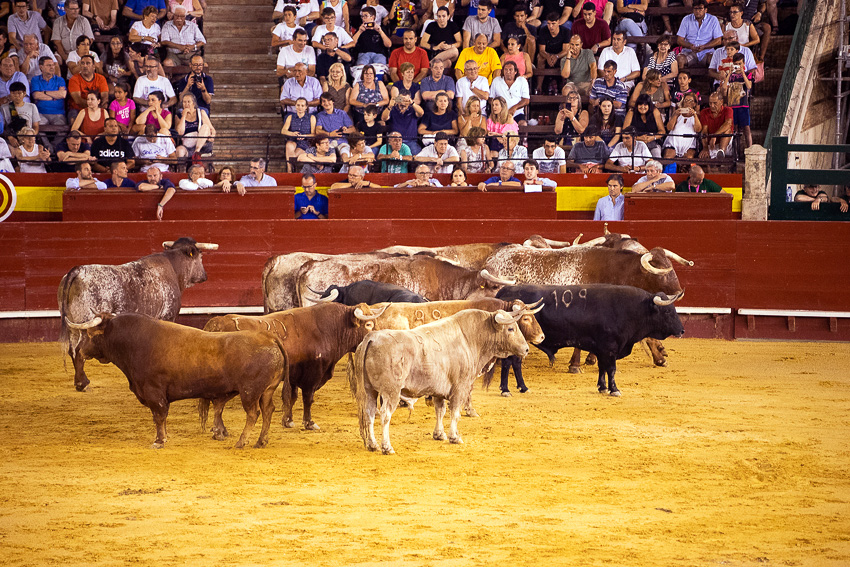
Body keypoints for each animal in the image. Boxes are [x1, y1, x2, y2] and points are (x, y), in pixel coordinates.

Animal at [58, 237, 217, 392]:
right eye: (201, 255)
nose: (204, 276)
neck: (174, 267)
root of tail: (78, 270)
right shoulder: (168, 316)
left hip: (72, 327)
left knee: (72, 350)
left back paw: (79, 381)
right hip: (86, 324)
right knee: (79, 350)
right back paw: (82, 383)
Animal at [496, 286, 684, 398]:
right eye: (667, 311)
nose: (682, 331)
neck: (630, 309)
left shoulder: (602, 349)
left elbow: (602, 368)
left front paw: (602, 387)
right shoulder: (610, 348)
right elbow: (611, 369)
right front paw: (614, 390)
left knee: (515, 363)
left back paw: (521, 387)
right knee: (509, 363)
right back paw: (508, 389)